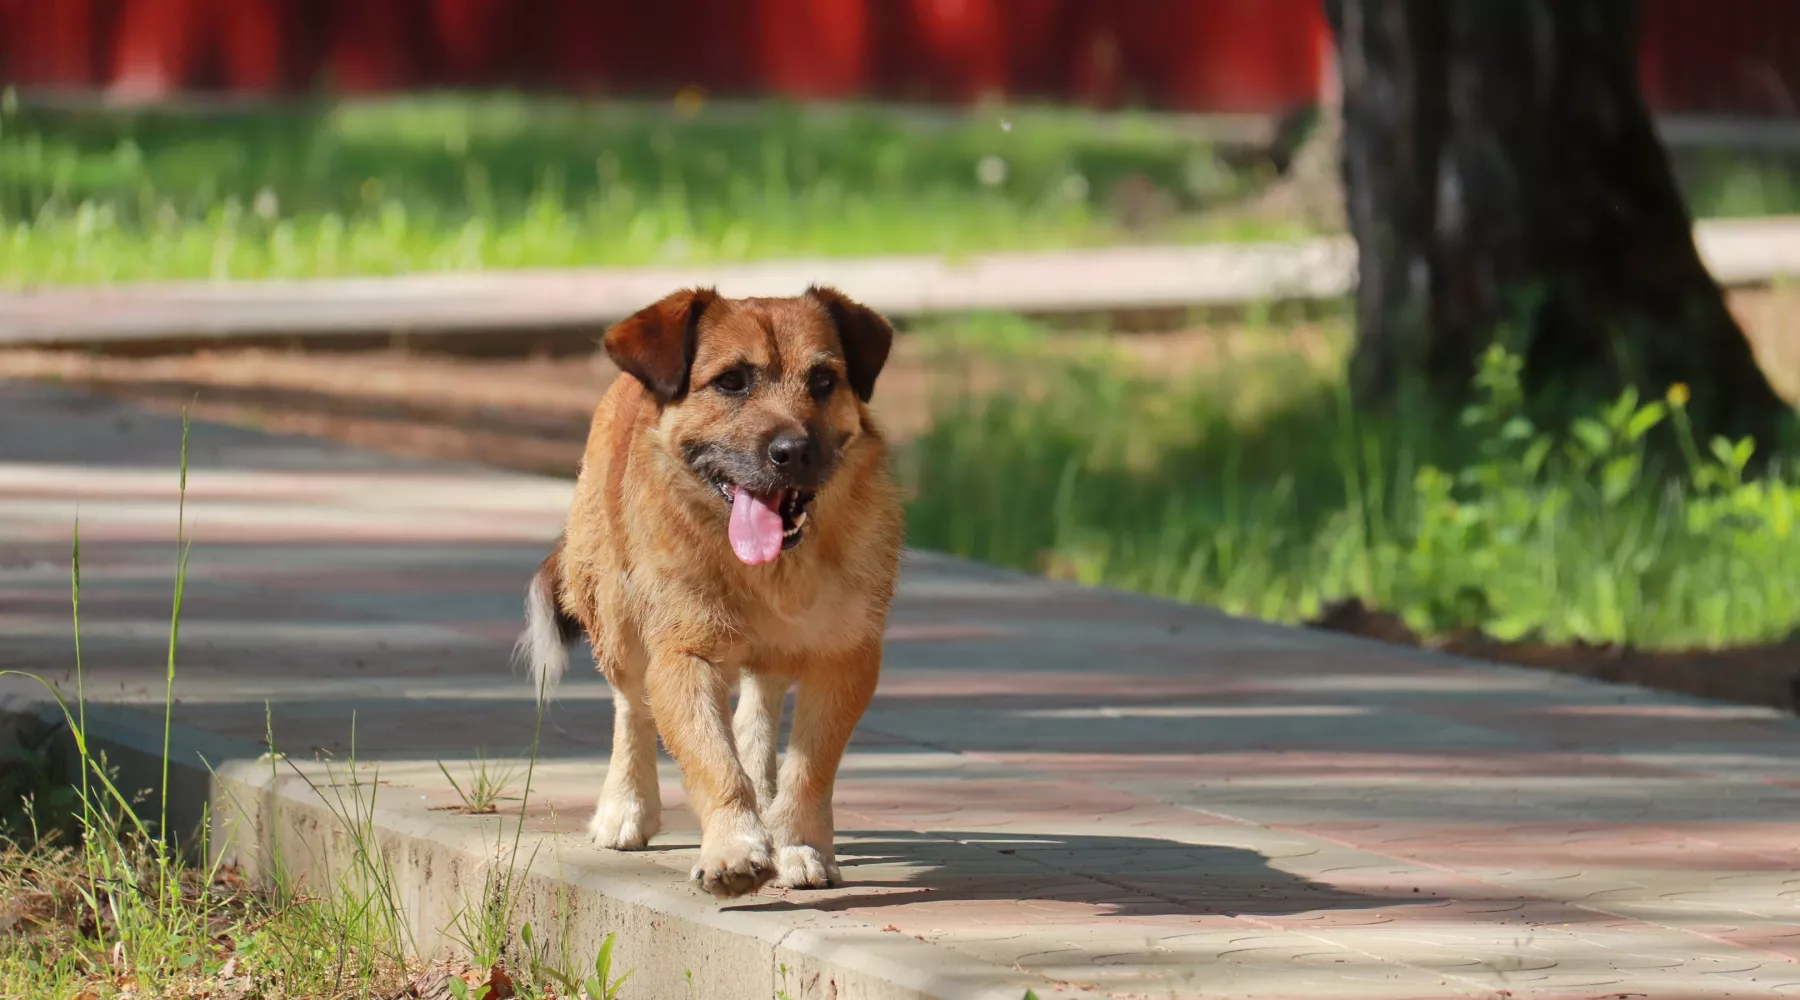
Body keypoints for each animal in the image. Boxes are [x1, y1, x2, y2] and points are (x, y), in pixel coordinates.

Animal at [522, 282, 907, 899]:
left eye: (824, 381)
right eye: (731, 381)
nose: (792, 451)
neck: (772, 570)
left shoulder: (845, 657)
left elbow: (809, 765)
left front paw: (796, 844)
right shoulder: (683, 655)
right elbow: (711, 759)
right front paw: (733, 848)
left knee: (758, 707)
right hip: (617, 622)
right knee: (632, 709)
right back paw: (625, 809)